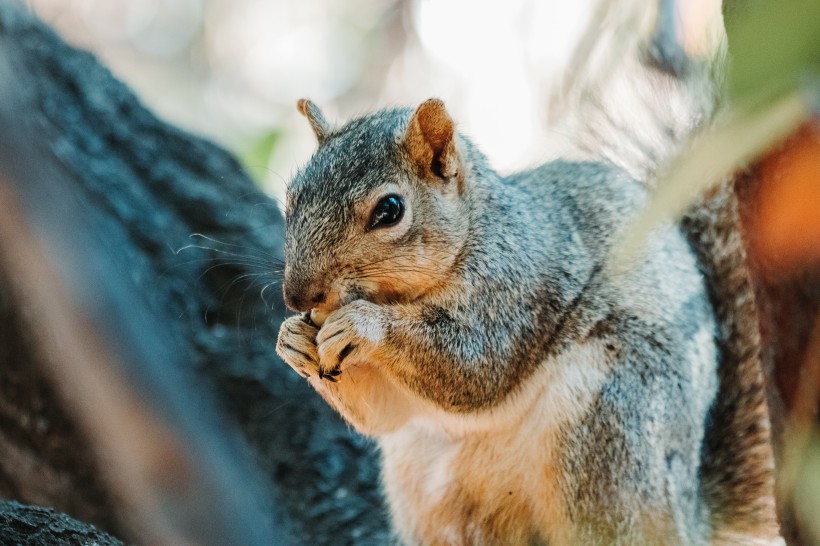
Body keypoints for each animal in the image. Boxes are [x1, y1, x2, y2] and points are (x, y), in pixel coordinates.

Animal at [274, 9, 780, 544]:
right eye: (292, 196)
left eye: (390, 210)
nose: (298, 297)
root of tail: (689, 516)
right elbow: (383, 414)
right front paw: (290, 339)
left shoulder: (522, 281)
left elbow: (476, 364)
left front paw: (364, 325)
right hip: (432, 485)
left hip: (611, 428)